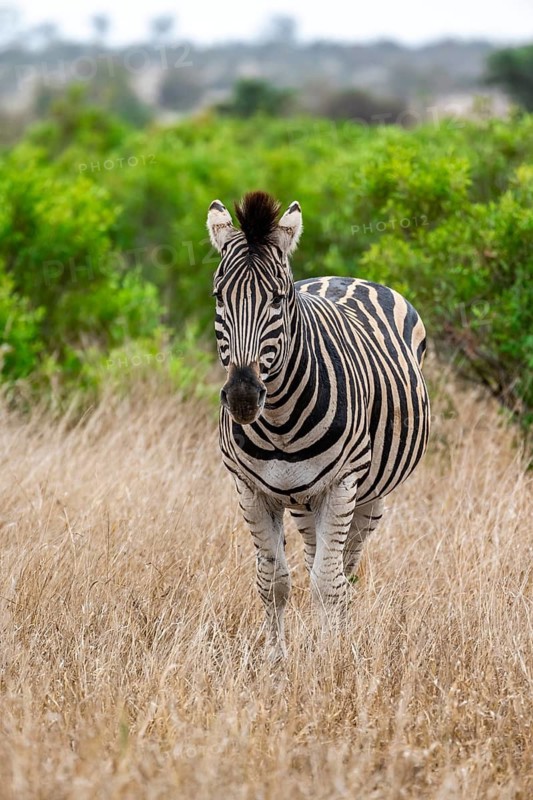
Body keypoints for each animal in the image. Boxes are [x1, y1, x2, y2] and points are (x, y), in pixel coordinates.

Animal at [207, 191, 430, 660]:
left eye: (278, 298)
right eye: (219, 296)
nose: (242, 397)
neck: (279, 424)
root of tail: (341, 277)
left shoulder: (342, 482)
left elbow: (329, 585)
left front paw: (331, 662)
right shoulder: (249, 487)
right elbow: (273, 583)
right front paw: (276, 662)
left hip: (368, 495)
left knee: (344, 571)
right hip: (303, 500)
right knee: (315, 561)